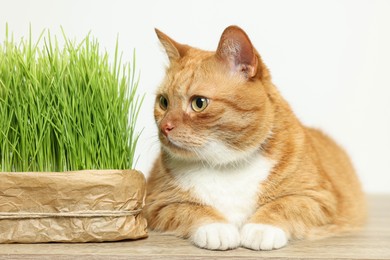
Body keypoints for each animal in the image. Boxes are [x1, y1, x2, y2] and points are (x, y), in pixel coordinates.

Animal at [145, 25, 366, 250]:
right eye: (163, 102)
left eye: (199, 103)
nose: (164, 127)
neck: (224, 166)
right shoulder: (157, 203)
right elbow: (190, 209)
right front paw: (216, 227)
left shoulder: (319, 198)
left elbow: (285, 205)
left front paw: (262, 228)